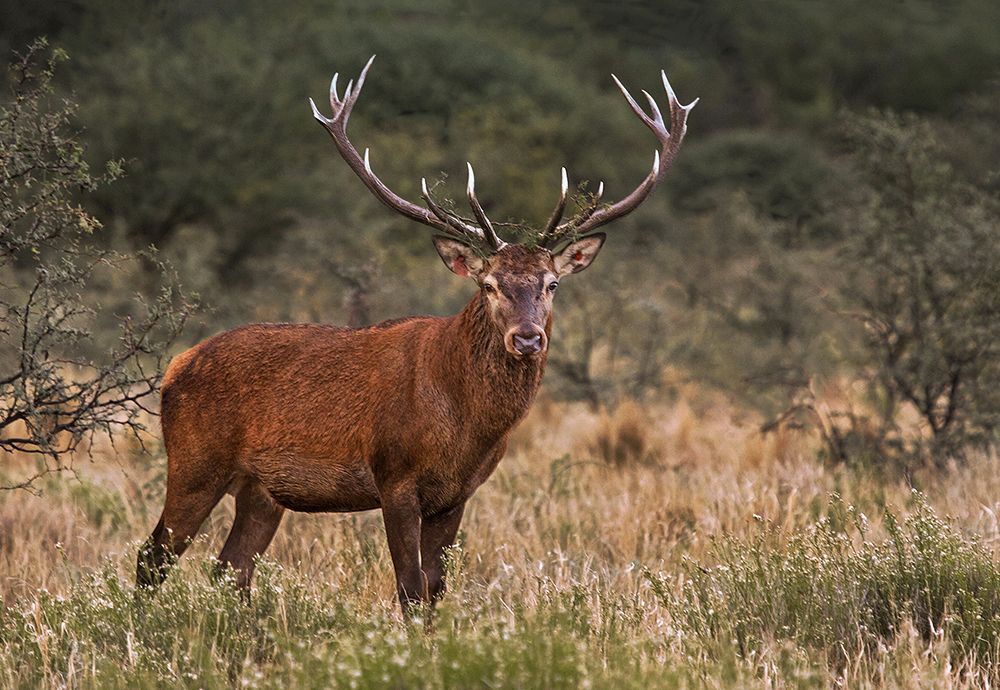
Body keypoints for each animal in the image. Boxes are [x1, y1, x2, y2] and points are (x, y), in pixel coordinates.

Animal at [136, 56, 696, 614]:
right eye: (489, 284)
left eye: (551, 283)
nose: (528, 338)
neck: (464, 425)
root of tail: (175, 366)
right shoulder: (395, 477)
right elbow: (409, 588)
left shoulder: (457, 495)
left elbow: (436, 587)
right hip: (195, 462)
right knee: (152, 557)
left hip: (261, 492)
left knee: (230, 569)